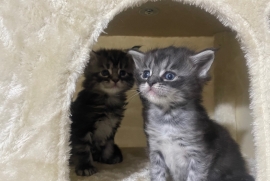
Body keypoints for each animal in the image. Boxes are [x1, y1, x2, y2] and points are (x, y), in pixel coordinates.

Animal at [128, 46, 253, 181]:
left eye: (169, 76)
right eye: (146, 74)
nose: (150, 82)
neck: (167, 115)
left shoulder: (199, 154)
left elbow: (194, 176)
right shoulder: (155, 149)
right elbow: (157, 173)